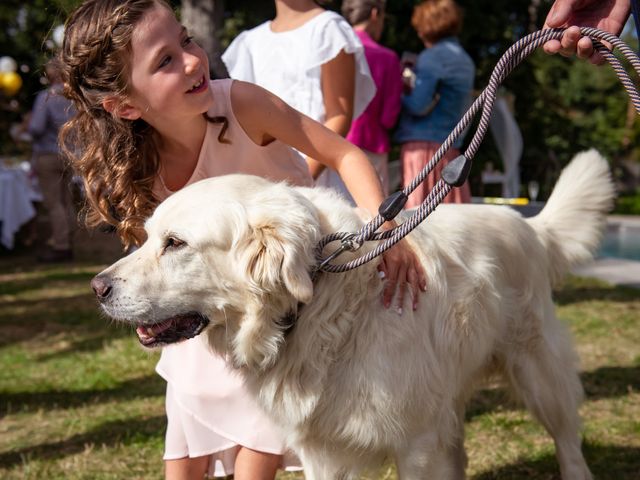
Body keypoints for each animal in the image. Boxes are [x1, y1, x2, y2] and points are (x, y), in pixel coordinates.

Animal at [92, 151, 612, 480]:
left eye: (175, 243)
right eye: (148, 236)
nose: (98, 288)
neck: (317, 306)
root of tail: (528, 224)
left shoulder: (416, 441)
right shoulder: (321, 451)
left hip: (539, 374)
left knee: (568, 442)